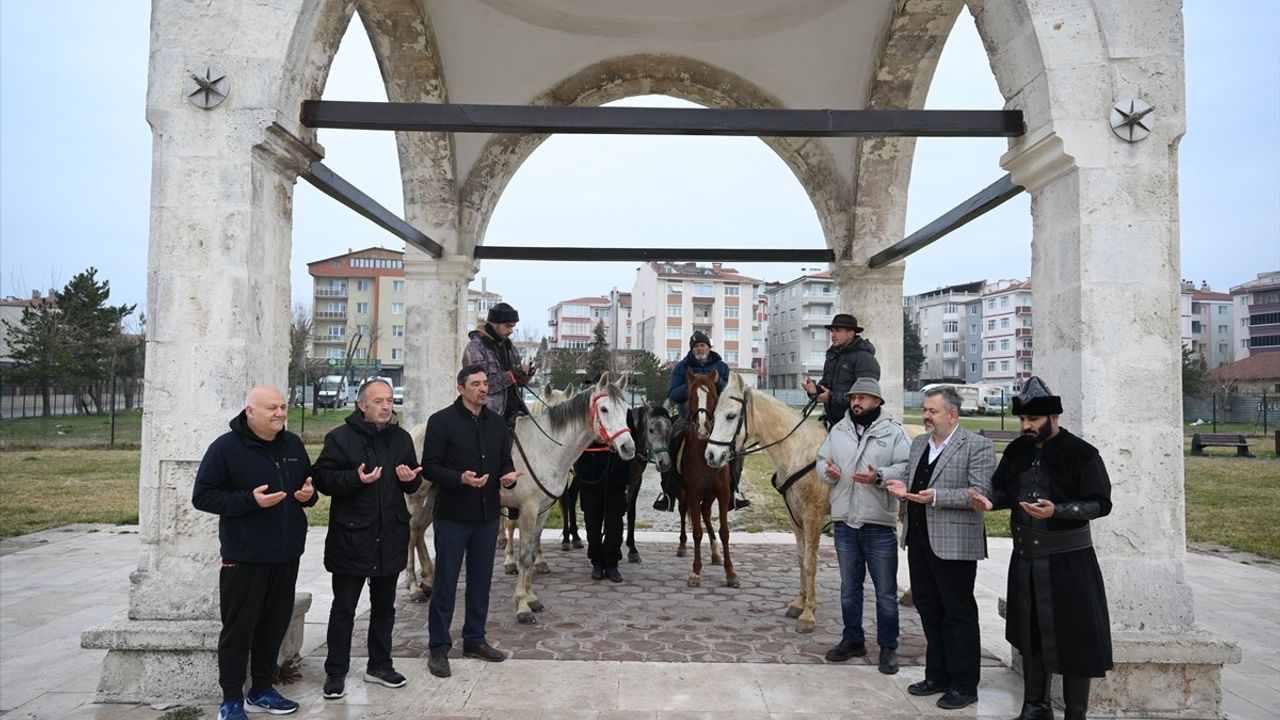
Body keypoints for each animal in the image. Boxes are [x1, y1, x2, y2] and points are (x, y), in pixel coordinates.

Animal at [670, 366, 742, 586]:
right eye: (691, 395)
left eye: (713, 395)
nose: (703, 427)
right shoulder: (693, 493)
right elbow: (697, 532)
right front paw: (695, 571)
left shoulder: (723, 493)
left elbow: (725, 532)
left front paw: (730, 572)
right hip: (682, 492)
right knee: (685, 513)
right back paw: (682, 546)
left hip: (710, 496)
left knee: (706, 513)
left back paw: (716, 552)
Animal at [701, 371, 829, 630]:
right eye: (715, 415)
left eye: (731, 416)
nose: (711, 455)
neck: (799, 450)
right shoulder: (795, 516)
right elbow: (801, 558)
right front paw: (799, 604)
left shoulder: (813, 515)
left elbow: (810, 561)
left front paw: (808, 614)